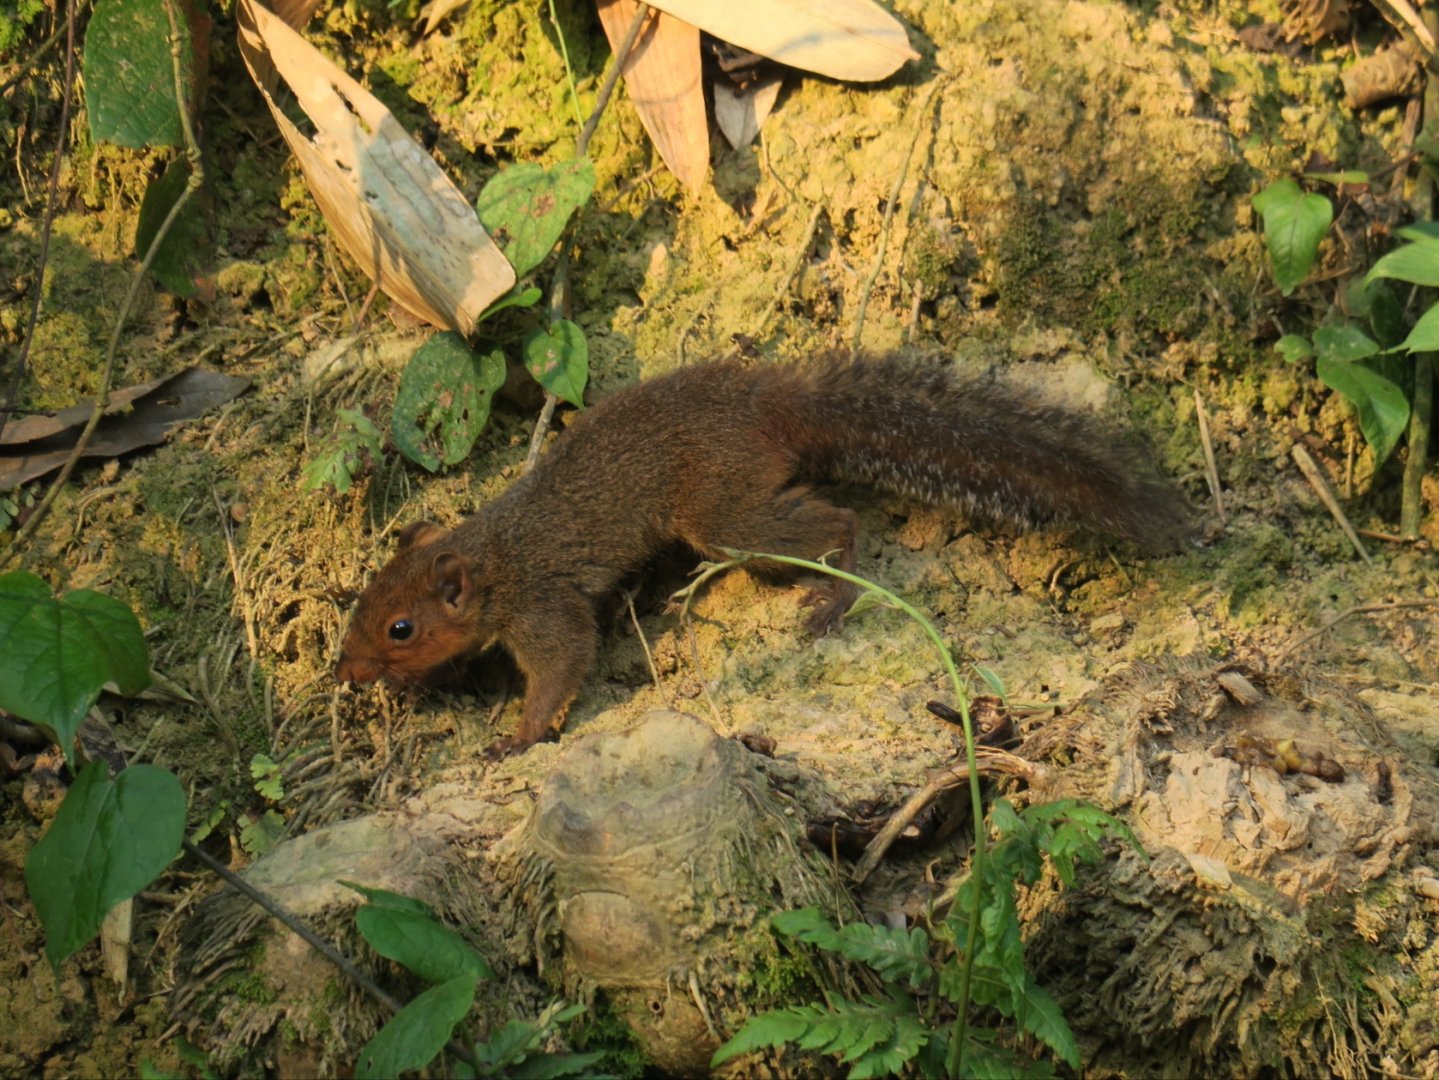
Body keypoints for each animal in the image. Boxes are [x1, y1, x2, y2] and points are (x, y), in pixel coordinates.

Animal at [335, 352, 1191, 758]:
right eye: (360, 604)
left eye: (401, 629)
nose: (345, 672)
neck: (492, 553)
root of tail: (771, 405)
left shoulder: (545, 604)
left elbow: (561, 666)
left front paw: (515, 738)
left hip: (722, 517)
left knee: (832, 519)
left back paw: (834, 595)